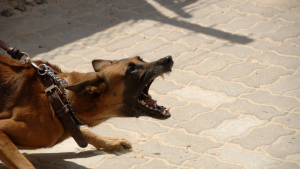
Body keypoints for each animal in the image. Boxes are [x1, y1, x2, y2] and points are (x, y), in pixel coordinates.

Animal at [0, 54, 173, 168]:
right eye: (131, 70)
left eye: (141, 59)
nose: (168, 59)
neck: (59, 99)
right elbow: (26, 164)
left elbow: (83, 132)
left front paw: (110, 141)